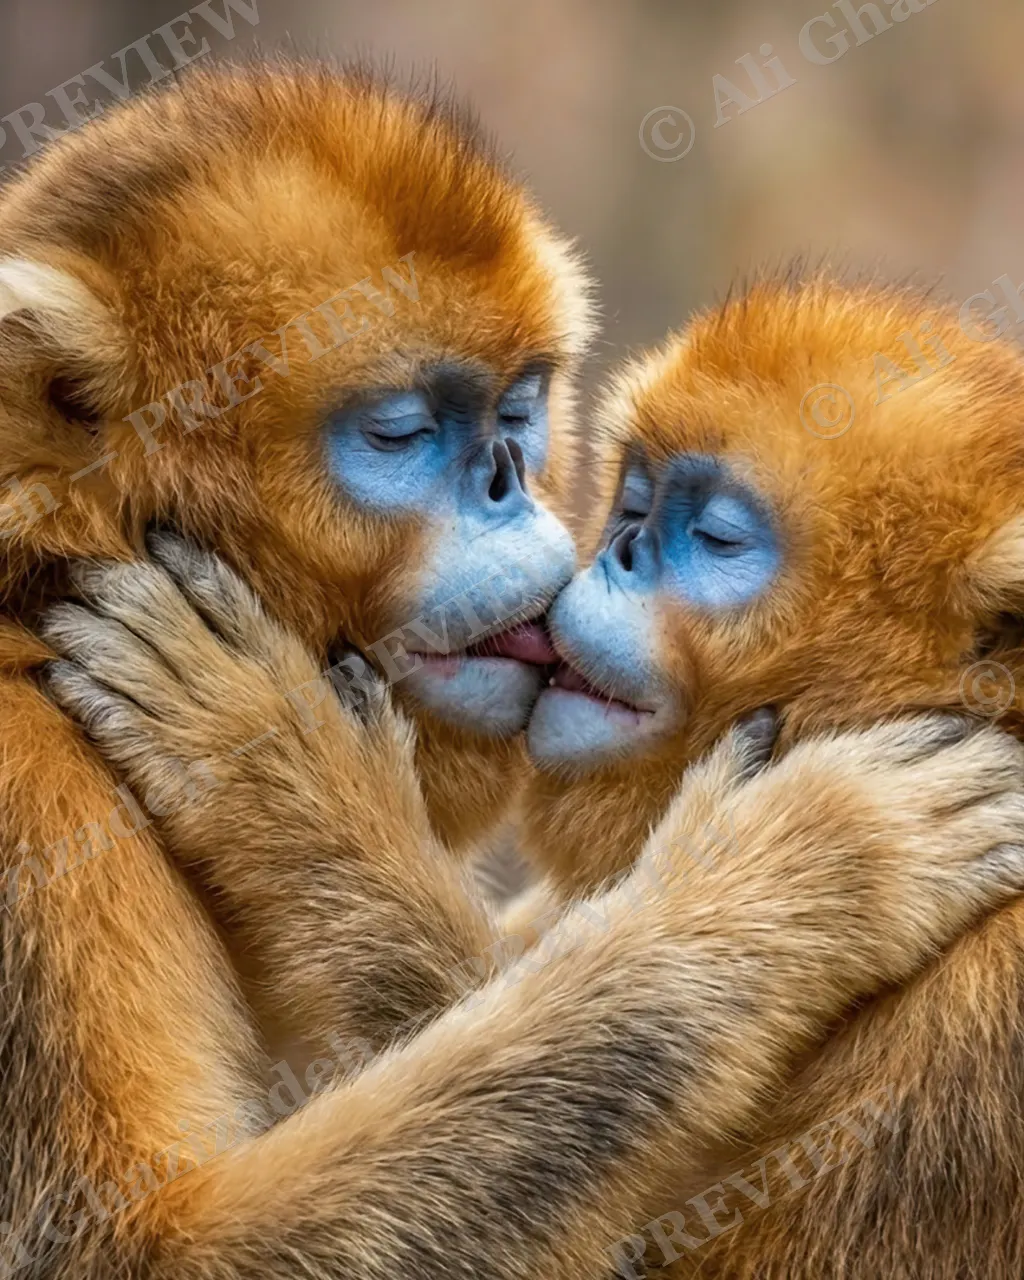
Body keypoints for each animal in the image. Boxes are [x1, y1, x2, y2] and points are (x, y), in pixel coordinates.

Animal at [2, 54, 1024, 1278]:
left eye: (516, 411)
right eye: (401, 433)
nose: (522, 483)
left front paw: (282, 779)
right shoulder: (30, 790)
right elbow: (142, 1253)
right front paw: (818, 861)